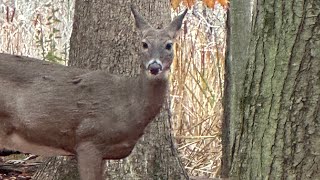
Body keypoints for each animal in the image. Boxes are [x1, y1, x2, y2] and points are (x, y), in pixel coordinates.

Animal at [0, 4, 188, 180]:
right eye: (144, 44)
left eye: (169, 45)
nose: (154, 67)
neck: (127, 103)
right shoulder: (88, 139)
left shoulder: (103, 153)